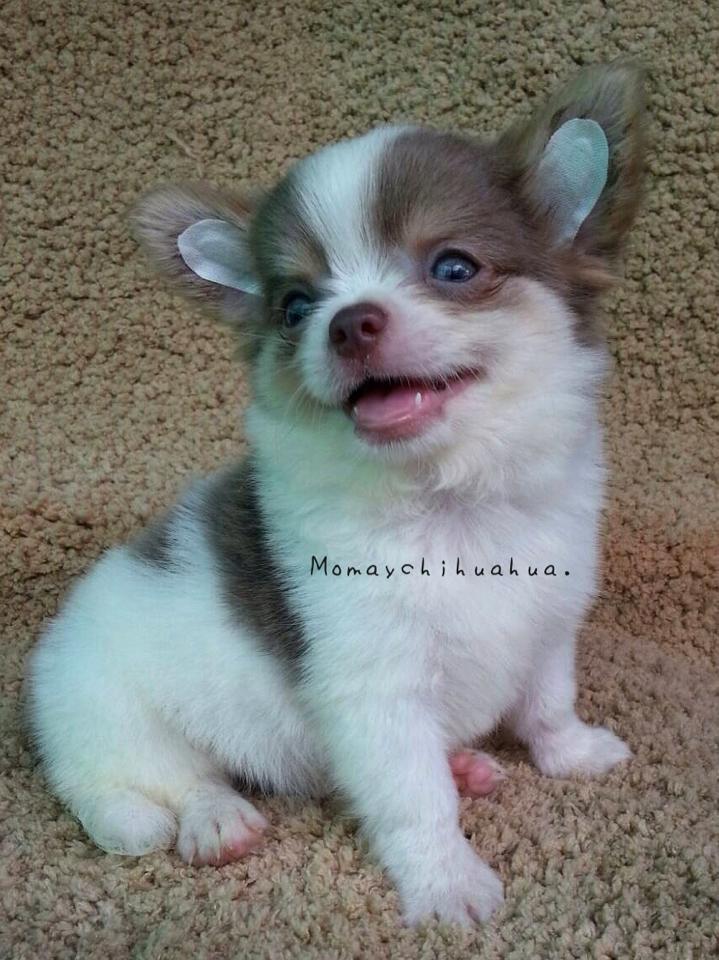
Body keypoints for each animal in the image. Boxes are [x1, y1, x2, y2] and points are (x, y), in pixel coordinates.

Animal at [27, 61, 645, 925]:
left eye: (453, 268)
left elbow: (546, 703)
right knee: (153, 784)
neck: (448, 502)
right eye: (295, 308)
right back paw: (215, 820)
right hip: (109, 713)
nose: (347, 322)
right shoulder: (374, 693)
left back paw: (465, 765)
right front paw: (445, 880)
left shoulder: (548, 625)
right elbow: (413, 799)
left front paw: (573, 752)